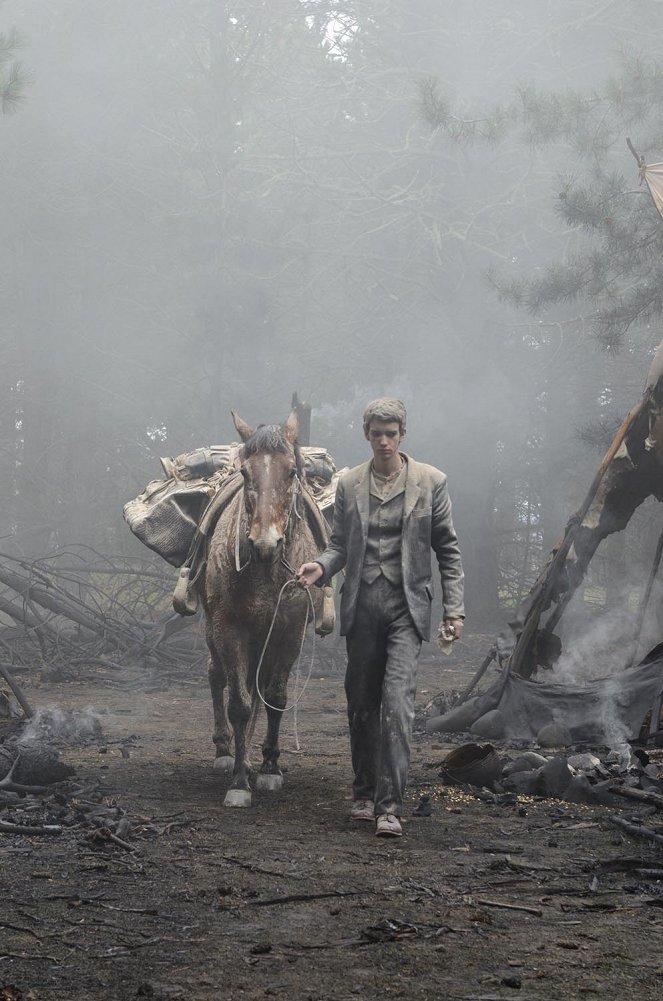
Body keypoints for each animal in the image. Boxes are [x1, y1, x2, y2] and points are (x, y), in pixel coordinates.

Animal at [202, 410, 326, 808]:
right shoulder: (229, 630)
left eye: (292, 471)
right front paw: (240, 781)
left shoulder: (288, 634)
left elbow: (274, 698)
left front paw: (270, 768)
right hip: (213, 632)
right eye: (244, 472)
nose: (265, 543)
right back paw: (225, 752)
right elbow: (239, 705)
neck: (266, 571)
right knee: (216, 677)